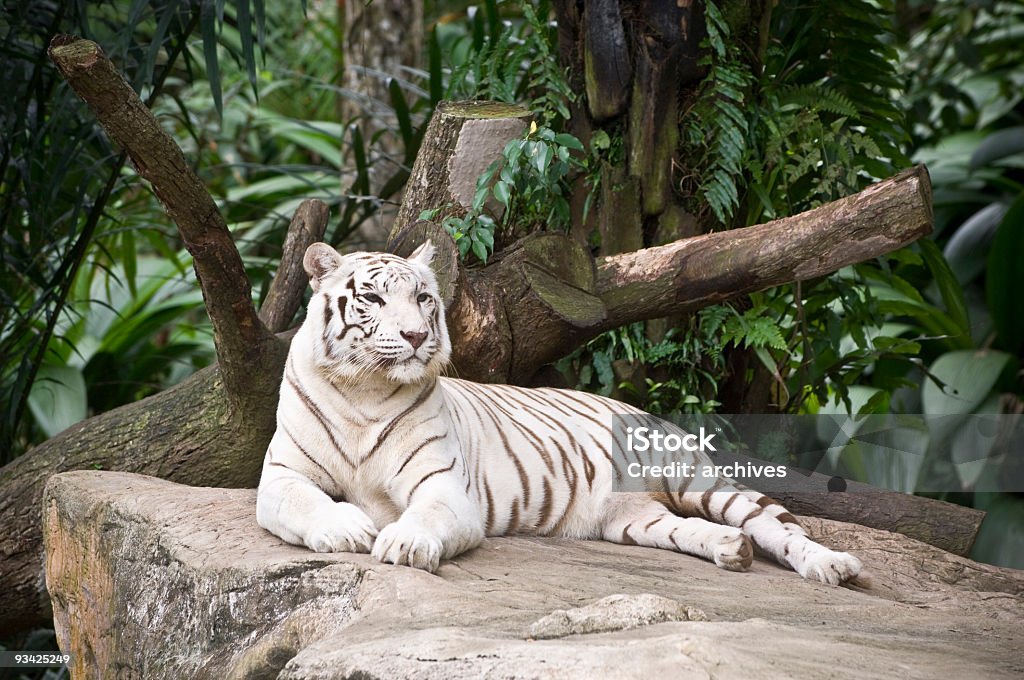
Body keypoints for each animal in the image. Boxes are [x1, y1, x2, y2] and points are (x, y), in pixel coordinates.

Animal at [256, 240, 864, 585]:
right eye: (374, 299)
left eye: (424, 298)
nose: (416, 336)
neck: (366, 389)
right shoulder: (281, 477)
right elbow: (307, 503)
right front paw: (345, 529)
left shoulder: (445, 487)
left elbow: (424, 516)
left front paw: (404, 543)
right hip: (632, 519)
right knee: (692, 528)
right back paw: (730, 551)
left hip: (696, 476)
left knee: (774, 525)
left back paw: (831, 565)